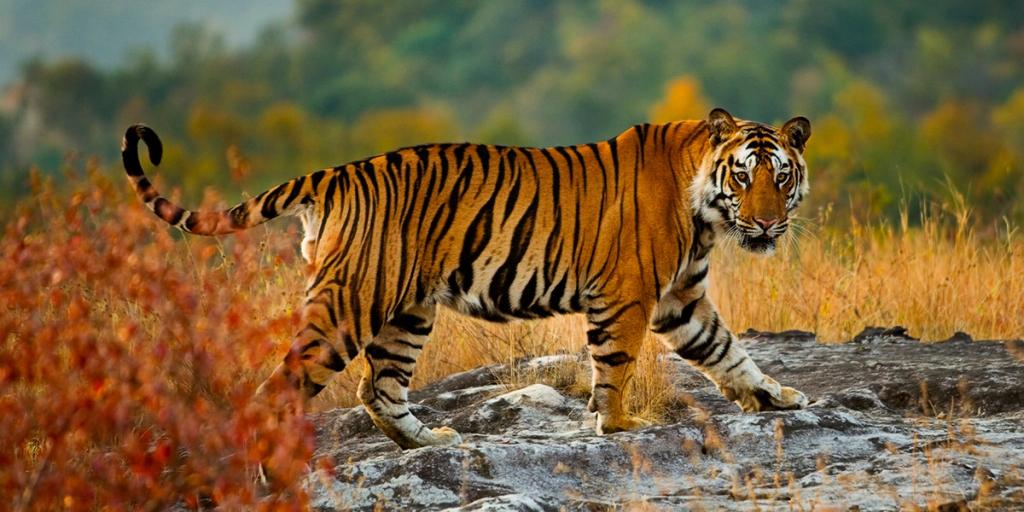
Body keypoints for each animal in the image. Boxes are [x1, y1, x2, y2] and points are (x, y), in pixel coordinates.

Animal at [121, 107, 811, 450]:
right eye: (744, 176)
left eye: (781, 177)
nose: (767, 225)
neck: (706, 211)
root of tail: (335, 173)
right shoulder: (628, 296)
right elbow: (615, 367)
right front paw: (617, 427)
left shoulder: (680, 299)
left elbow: (727, 351)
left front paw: (775, 397)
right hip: (349, 304)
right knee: (280, 389)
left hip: (406, 311)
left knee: (379, 388)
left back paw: (429, 441)